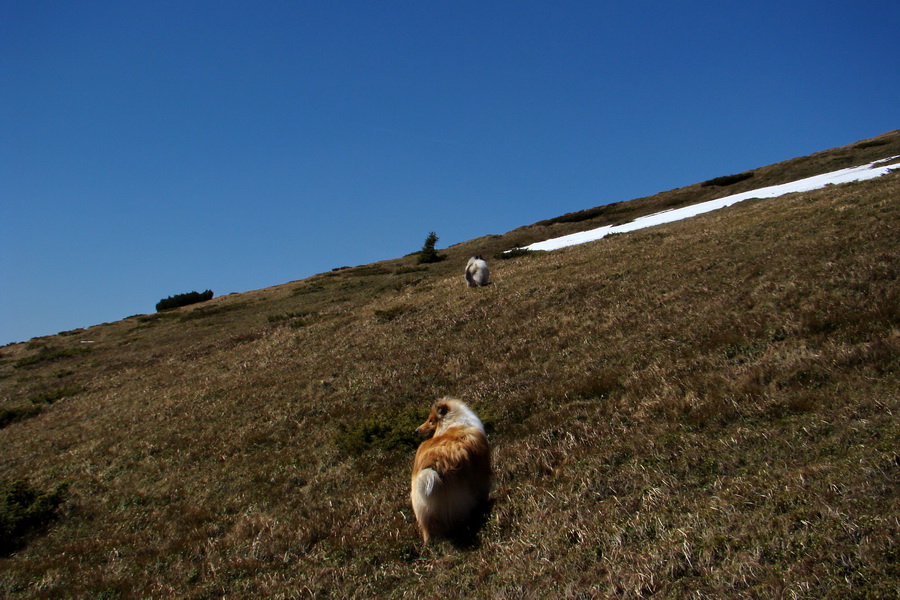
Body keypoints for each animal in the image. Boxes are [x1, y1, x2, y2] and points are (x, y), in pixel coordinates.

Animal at [412, 398, 488, 544]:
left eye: (431, 420)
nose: (416, 430)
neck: (453, 423)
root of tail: (434, 464)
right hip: (459, 499)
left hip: (420, 504)